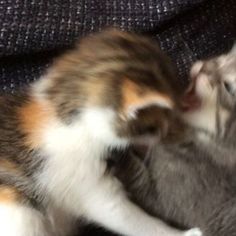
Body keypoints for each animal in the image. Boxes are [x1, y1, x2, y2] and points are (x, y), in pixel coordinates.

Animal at [0, 29, 200, 236]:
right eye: (154, 127)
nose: (166, 135)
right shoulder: (85, 180)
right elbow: (127, 218)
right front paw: (184, 233)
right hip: (16, 206)